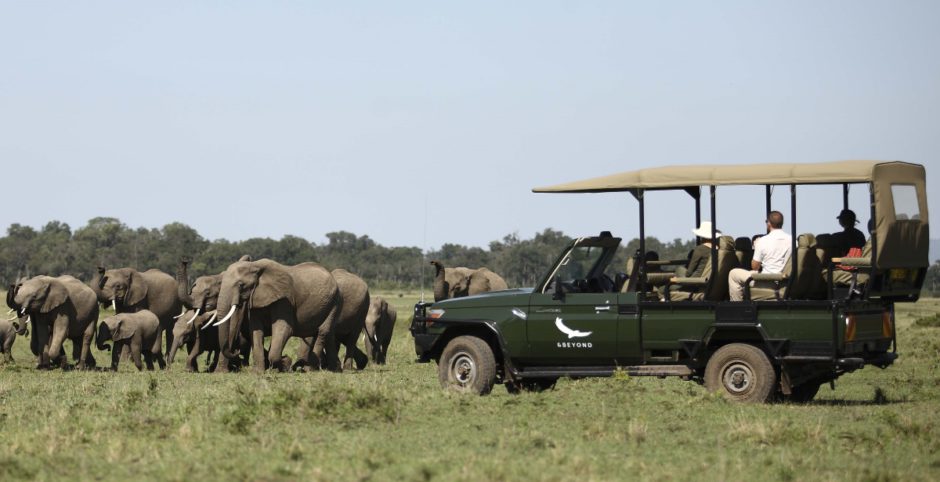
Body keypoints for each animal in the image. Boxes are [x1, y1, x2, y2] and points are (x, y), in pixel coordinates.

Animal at [213, 260, 342, 372]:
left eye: (241, 285)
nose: (236, 351)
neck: (255, 265)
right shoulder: (255, 300)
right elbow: (255, 330)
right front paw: (258, 372)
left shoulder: (284, 300)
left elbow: (284, 329)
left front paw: (284, 364)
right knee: (325, 334)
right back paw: (331, 369)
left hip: (334, 301)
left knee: (323, 331)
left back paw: (313, 369)